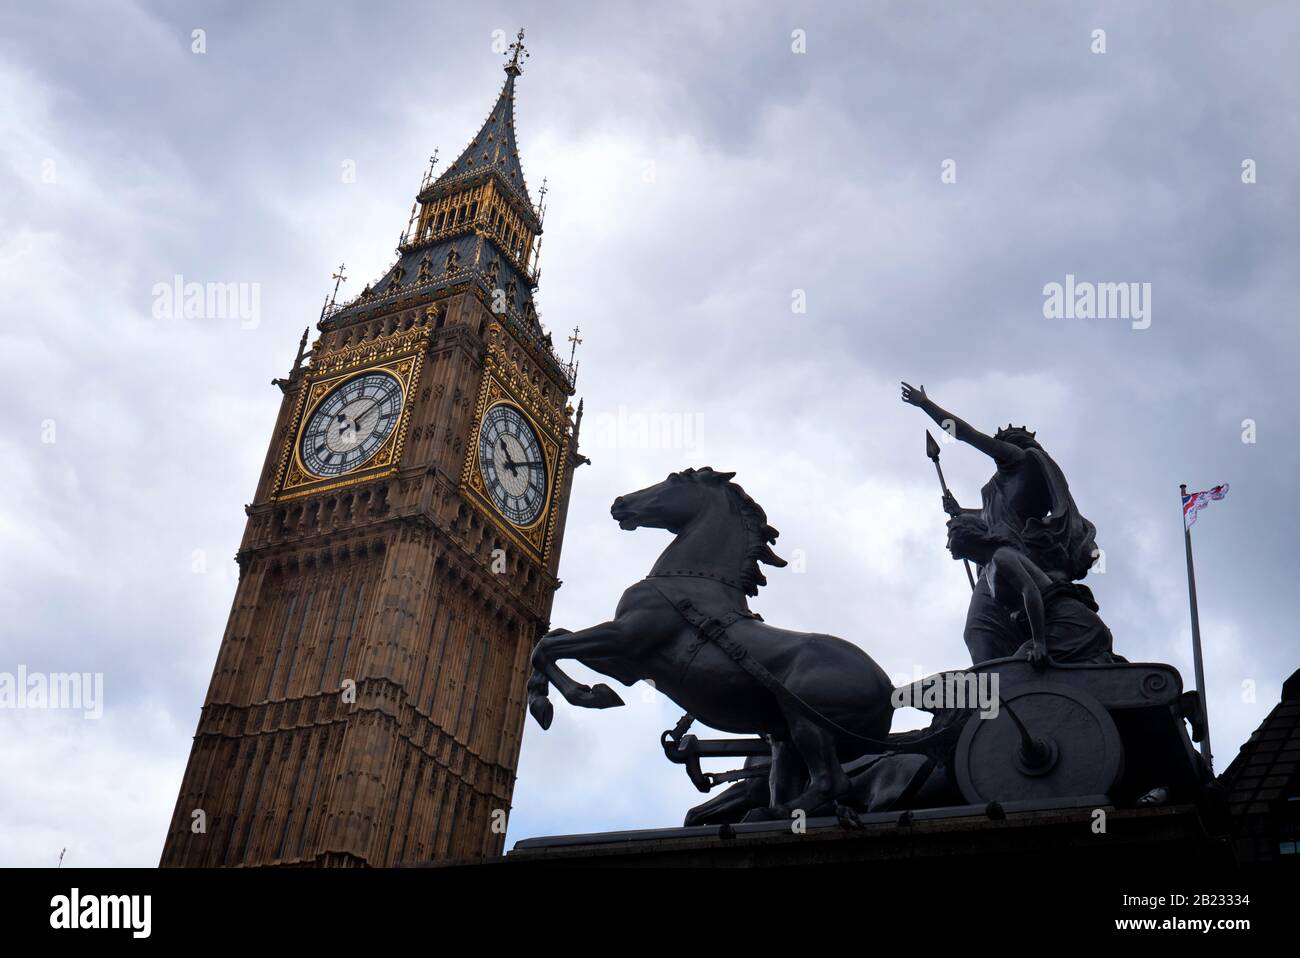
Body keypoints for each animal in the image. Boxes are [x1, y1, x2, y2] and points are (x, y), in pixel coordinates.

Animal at [527, 467, 894, 816]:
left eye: (673, 479)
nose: (620, 503)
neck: (691, 583)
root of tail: (887, 689)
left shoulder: (625, 636)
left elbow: (546, 648)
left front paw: (578, 698)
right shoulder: (628, 664)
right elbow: (554, 638)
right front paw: (566, 693)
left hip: (807, 721)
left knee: (832, 781)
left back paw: (772, 813)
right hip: (785, 736)